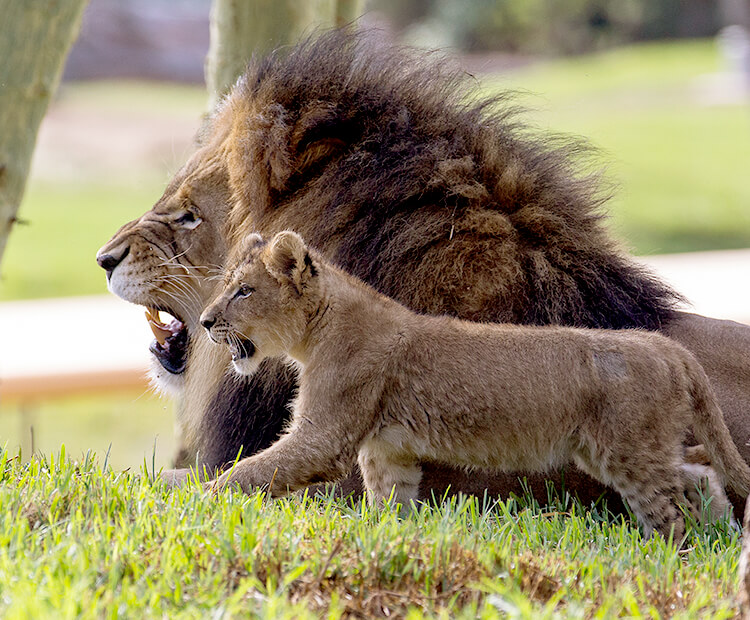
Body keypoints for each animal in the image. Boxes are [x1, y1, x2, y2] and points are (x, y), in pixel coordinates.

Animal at [200, 230, 748, 540]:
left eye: (243, 291)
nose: (205, 322)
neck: (315, 331)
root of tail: (669, 348)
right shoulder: (387, 450)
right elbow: (390, 500)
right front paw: (391, 539)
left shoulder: (323, 437)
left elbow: (248, 471)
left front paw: (200, 503)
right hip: (622, 450)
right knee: (700, 471)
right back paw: (719, 539)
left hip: (628, 451)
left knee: (671, 510)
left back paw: (673, 556)